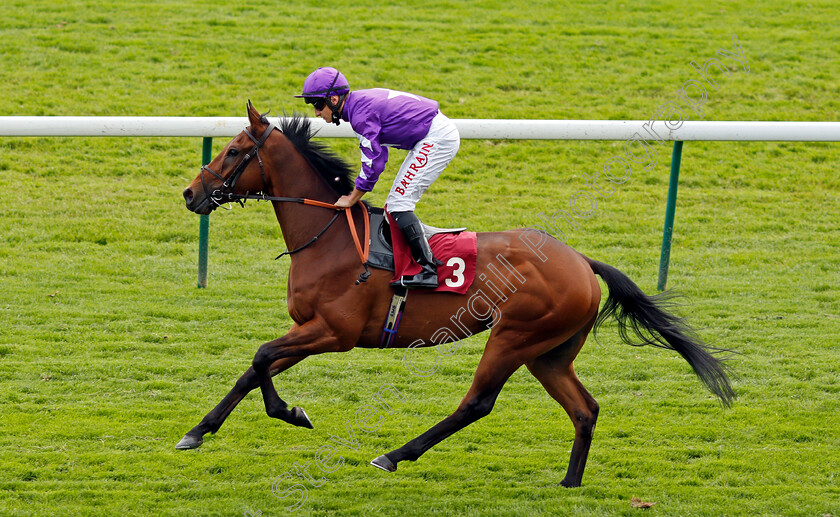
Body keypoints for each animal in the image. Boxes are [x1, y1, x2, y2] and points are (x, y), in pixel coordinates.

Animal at [179, 103, 736, 486]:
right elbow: (255, 368)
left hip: (514, 337)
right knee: (585, 409)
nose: (190, 194)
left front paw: (290, 412)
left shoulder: (334, 333)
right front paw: (199, 431)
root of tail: (582, 262)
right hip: (550, 352)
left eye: (233, 151)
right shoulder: (309, 328)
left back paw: (394, 455)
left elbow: (260, 357)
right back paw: (569, 482)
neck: (329, 236)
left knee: (477, 403)